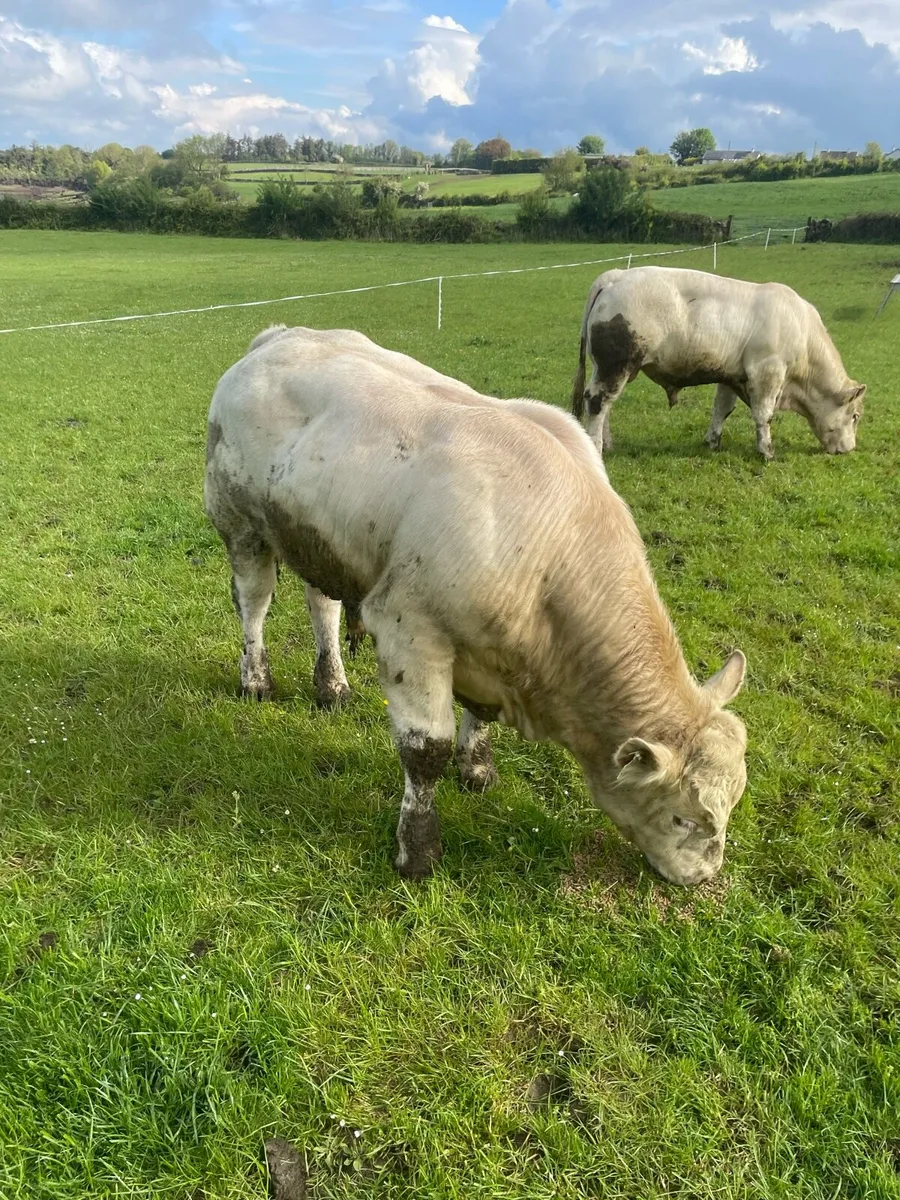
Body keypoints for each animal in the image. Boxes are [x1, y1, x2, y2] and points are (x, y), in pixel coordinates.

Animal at [205, 325, 748, 887]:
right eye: (684, 817)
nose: (704, 876)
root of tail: (278, 336)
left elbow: (479, 715)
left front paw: (477, 768)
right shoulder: (410, 632)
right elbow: (424, 752)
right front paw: (418, 851)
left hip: (321, 541)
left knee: (322, 606)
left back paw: (332, 686)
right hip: (239, 523)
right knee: (254, 603)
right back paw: (256, 681)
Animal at [571, 266, 866, 460]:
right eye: (855, 416)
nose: (850, 449)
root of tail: (616, 276)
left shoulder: (731, 376)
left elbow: (722, 409)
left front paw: (713, 441)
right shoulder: (767, 372)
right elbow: (764, 414)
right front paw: (766, 451)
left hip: (608, 367)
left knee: (603, 404)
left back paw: (606, 443)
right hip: (617, 365)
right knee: (597, 402)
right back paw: (596, 447)